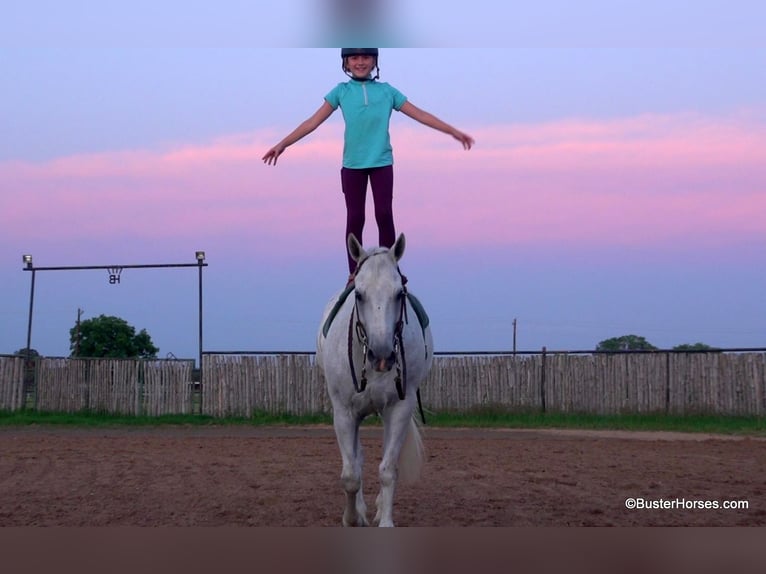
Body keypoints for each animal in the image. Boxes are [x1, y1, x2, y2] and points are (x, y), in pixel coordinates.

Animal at [316, 233, 436, 528]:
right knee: (356, 460)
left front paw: (386, 521)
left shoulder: (400, 408)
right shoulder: (344, 413)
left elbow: (388, 469)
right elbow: (350, 474)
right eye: (359, 294)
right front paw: (351, 518)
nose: (382, 355)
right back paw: (359, 510)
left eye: (399, 293)